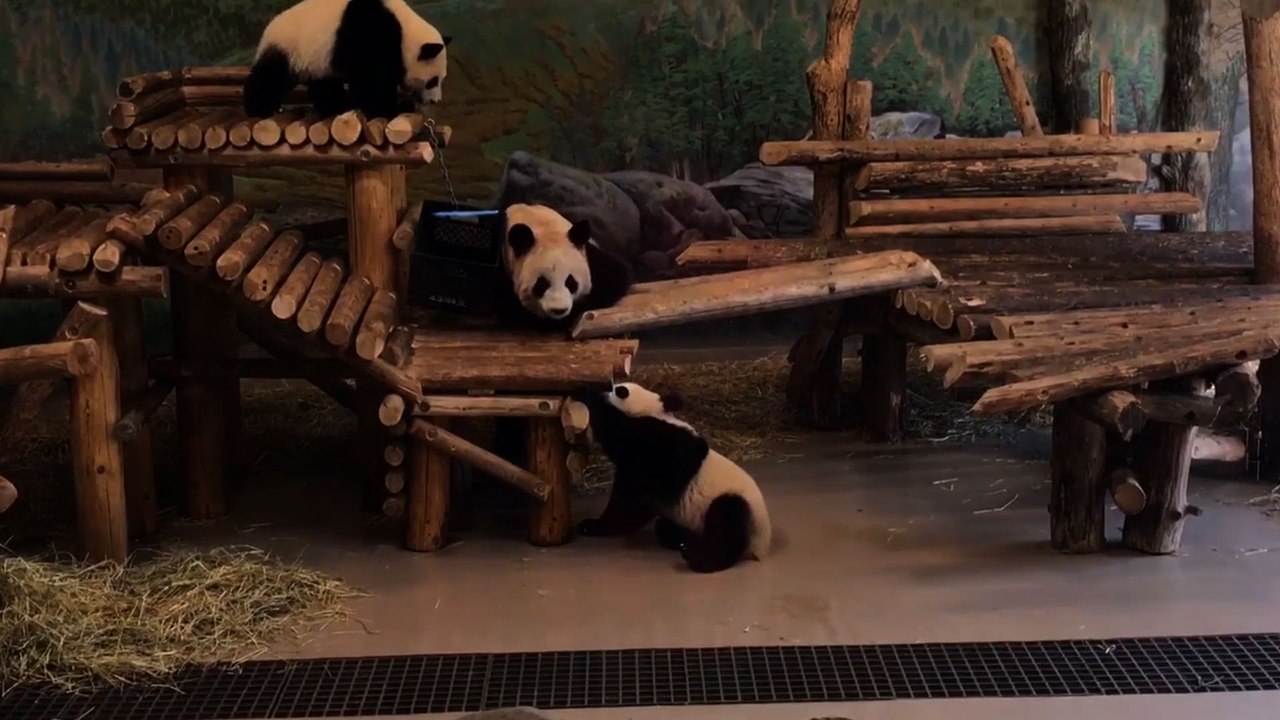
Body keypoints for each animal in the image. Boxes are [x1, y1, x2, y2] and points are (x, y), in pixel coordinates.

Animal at [243, 0, 451, 119]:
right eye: (433, 81)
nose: (435, 101)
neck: (405, 32)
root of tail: (266, 30)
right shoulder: (372, 33)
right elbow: (371, 79)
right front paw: (395, 108)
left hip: (317, 61)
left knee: (324, 84)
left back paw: (334, 106)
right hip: (289, 48)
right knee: (270, 77)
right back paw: (261, 108)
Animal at [573, 381, 772, 574]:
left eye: (620, 390)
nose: (608, 390)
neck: (654, 412)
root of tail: (760, 548)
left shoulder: (658, 447)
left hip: (738, 508)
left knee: (726, 522)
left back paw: (699, 558)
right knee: (665, 526)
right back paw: (679, 540)